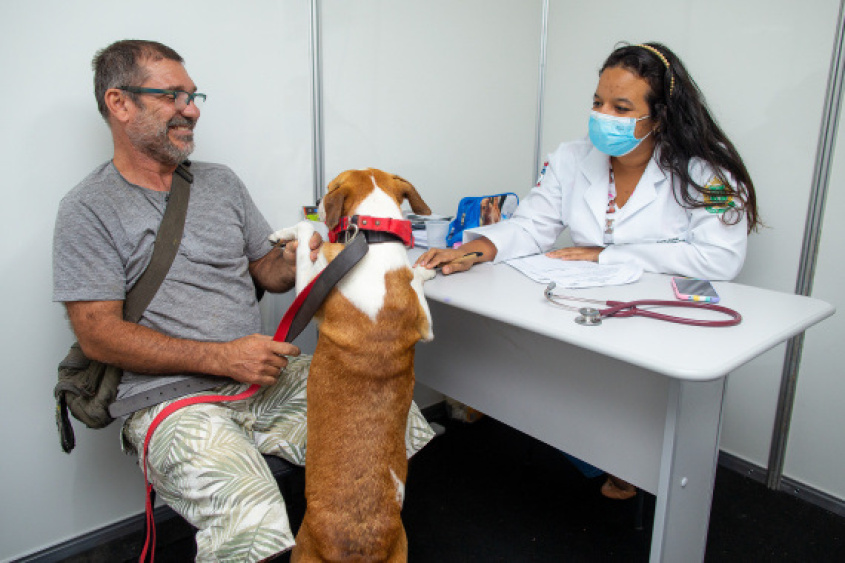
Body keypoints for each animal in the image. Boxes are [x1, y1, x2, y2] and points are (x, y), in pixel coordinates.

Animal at [270, 169, 438, 563]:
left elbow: (307, 229)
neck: (372, 242)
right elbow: (420, 295)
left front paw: (287, 231)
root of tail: (357, 547)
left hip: (302, 549)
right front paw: (423, 272)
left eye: (330, 187)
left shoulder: (311, 288)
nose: (317, 199)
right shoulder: (425, 326)